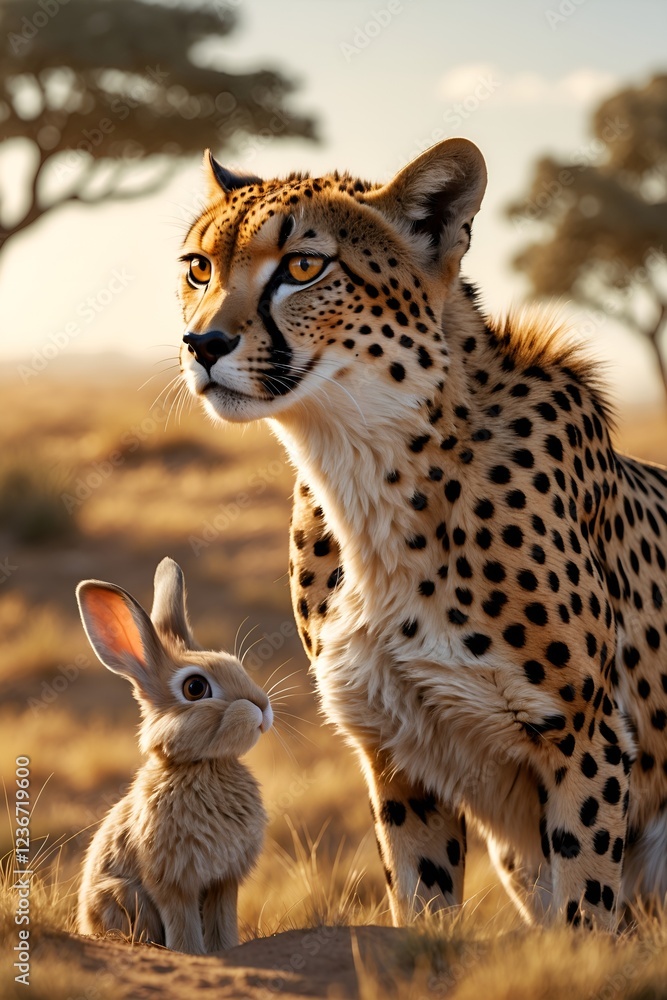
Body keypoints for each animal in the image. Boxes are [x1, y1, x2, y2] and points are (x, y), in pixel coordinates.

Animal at [75, 556, 272, 954]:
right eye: (195, 688)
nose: (262, 707)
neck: (205, 766)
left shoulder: (224, 881)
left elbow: (222, 922)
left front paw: (225, 951)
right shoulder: (172, 881)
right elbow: (183, 924)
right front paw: (192, 953)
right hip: (122, 896)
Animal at [177, 138, 667, 930]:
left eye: (304, 267)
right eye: (199, 267)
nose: (203, 342)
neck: (370, 468)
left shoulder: (586, 737)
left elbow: (587, 905)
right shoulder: (394, 747)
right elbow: (422, 910)